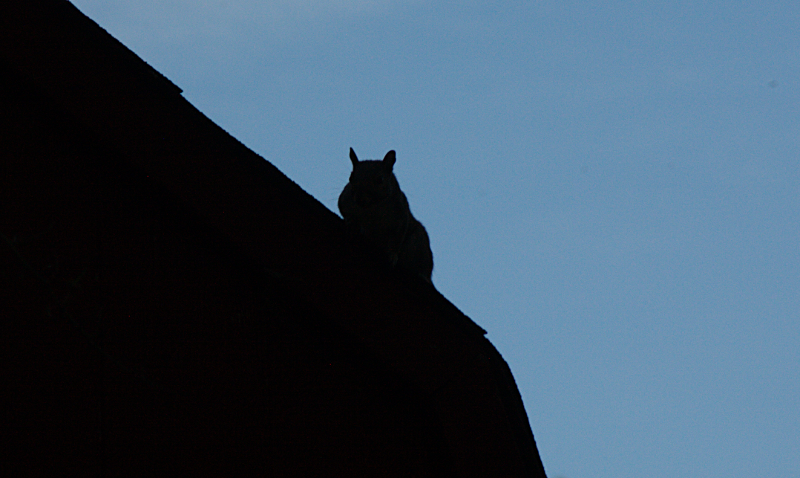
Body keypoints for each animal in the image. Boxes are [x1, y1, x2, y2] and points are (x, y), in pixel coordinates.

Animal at [338, 148, 434, 282]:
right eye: (351, 178)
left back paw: (422, 275)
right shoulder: (345, 199)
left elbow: (398, 236)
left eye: (380, 179)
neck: (373, 208)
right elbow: (343, 210)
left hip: (419, 243)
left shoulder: (401, 213)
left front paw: (392, 255)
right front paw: (351, 221)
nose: (360, 198)